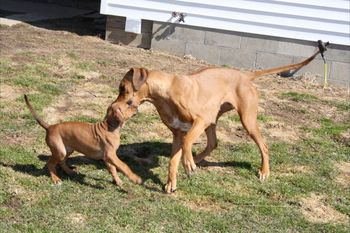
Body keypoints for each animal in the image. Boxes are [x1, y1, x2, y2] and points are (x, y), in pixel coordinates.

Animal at [113, 49, 322, 193]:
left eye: (122, 88)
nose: (113, 106)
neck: (166, 92)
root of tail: (245, 75)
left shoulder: (199, 120)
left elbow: (188, 141)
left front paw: (188, 165)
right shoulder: (178, 133)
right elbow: (173, 160)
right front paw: (172, 182)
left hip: (246, 120)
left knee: (263, 145)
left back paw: (263, 171)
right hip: (213, 120)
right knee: (213, 143)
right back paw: (196, 159)